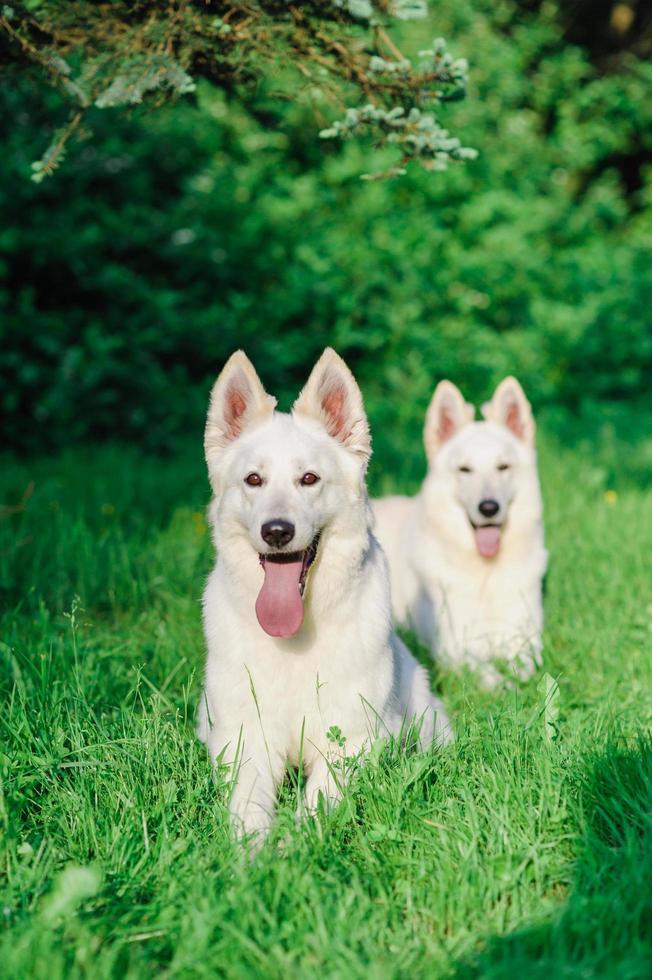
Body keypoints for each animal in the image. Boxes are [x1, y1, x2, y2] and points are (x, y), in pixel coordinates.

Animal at [199, 350, 450, 844]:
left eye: (309, 478)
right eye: (253, 480)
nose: (277, 531)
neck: (295, 639)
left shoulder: (354, 740)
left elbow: (317, 803)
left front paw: (292, 849)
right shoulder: (245, 741)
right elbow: (249, 808)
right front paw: (254, 852)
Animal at [372, 378, 544, 688]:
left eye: (503, 467)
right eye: (465, 470)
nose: (488, 508)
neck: (486, 573)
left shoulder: (524, 639)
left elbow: (526, 666)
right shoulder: (454, 648)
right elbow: (489, 674)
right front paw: (508, 687)